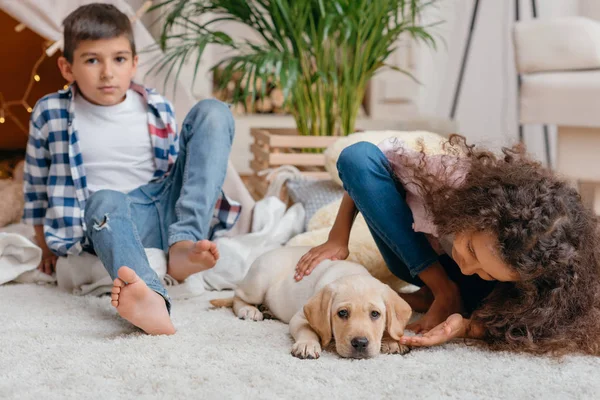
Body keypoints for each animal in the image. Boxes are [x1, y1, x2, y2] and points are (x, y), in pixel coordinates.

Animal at [211, 245, 412, 360]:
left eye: (375, 314)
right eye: (342, 313)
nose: (361, 343)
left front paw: (392, 341)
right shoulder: (300, 317)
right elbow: (307, 330)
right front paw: (307, 344)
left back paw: (266, 310)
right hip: (259, 280)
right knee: (237, 295)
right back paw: (249, 310)